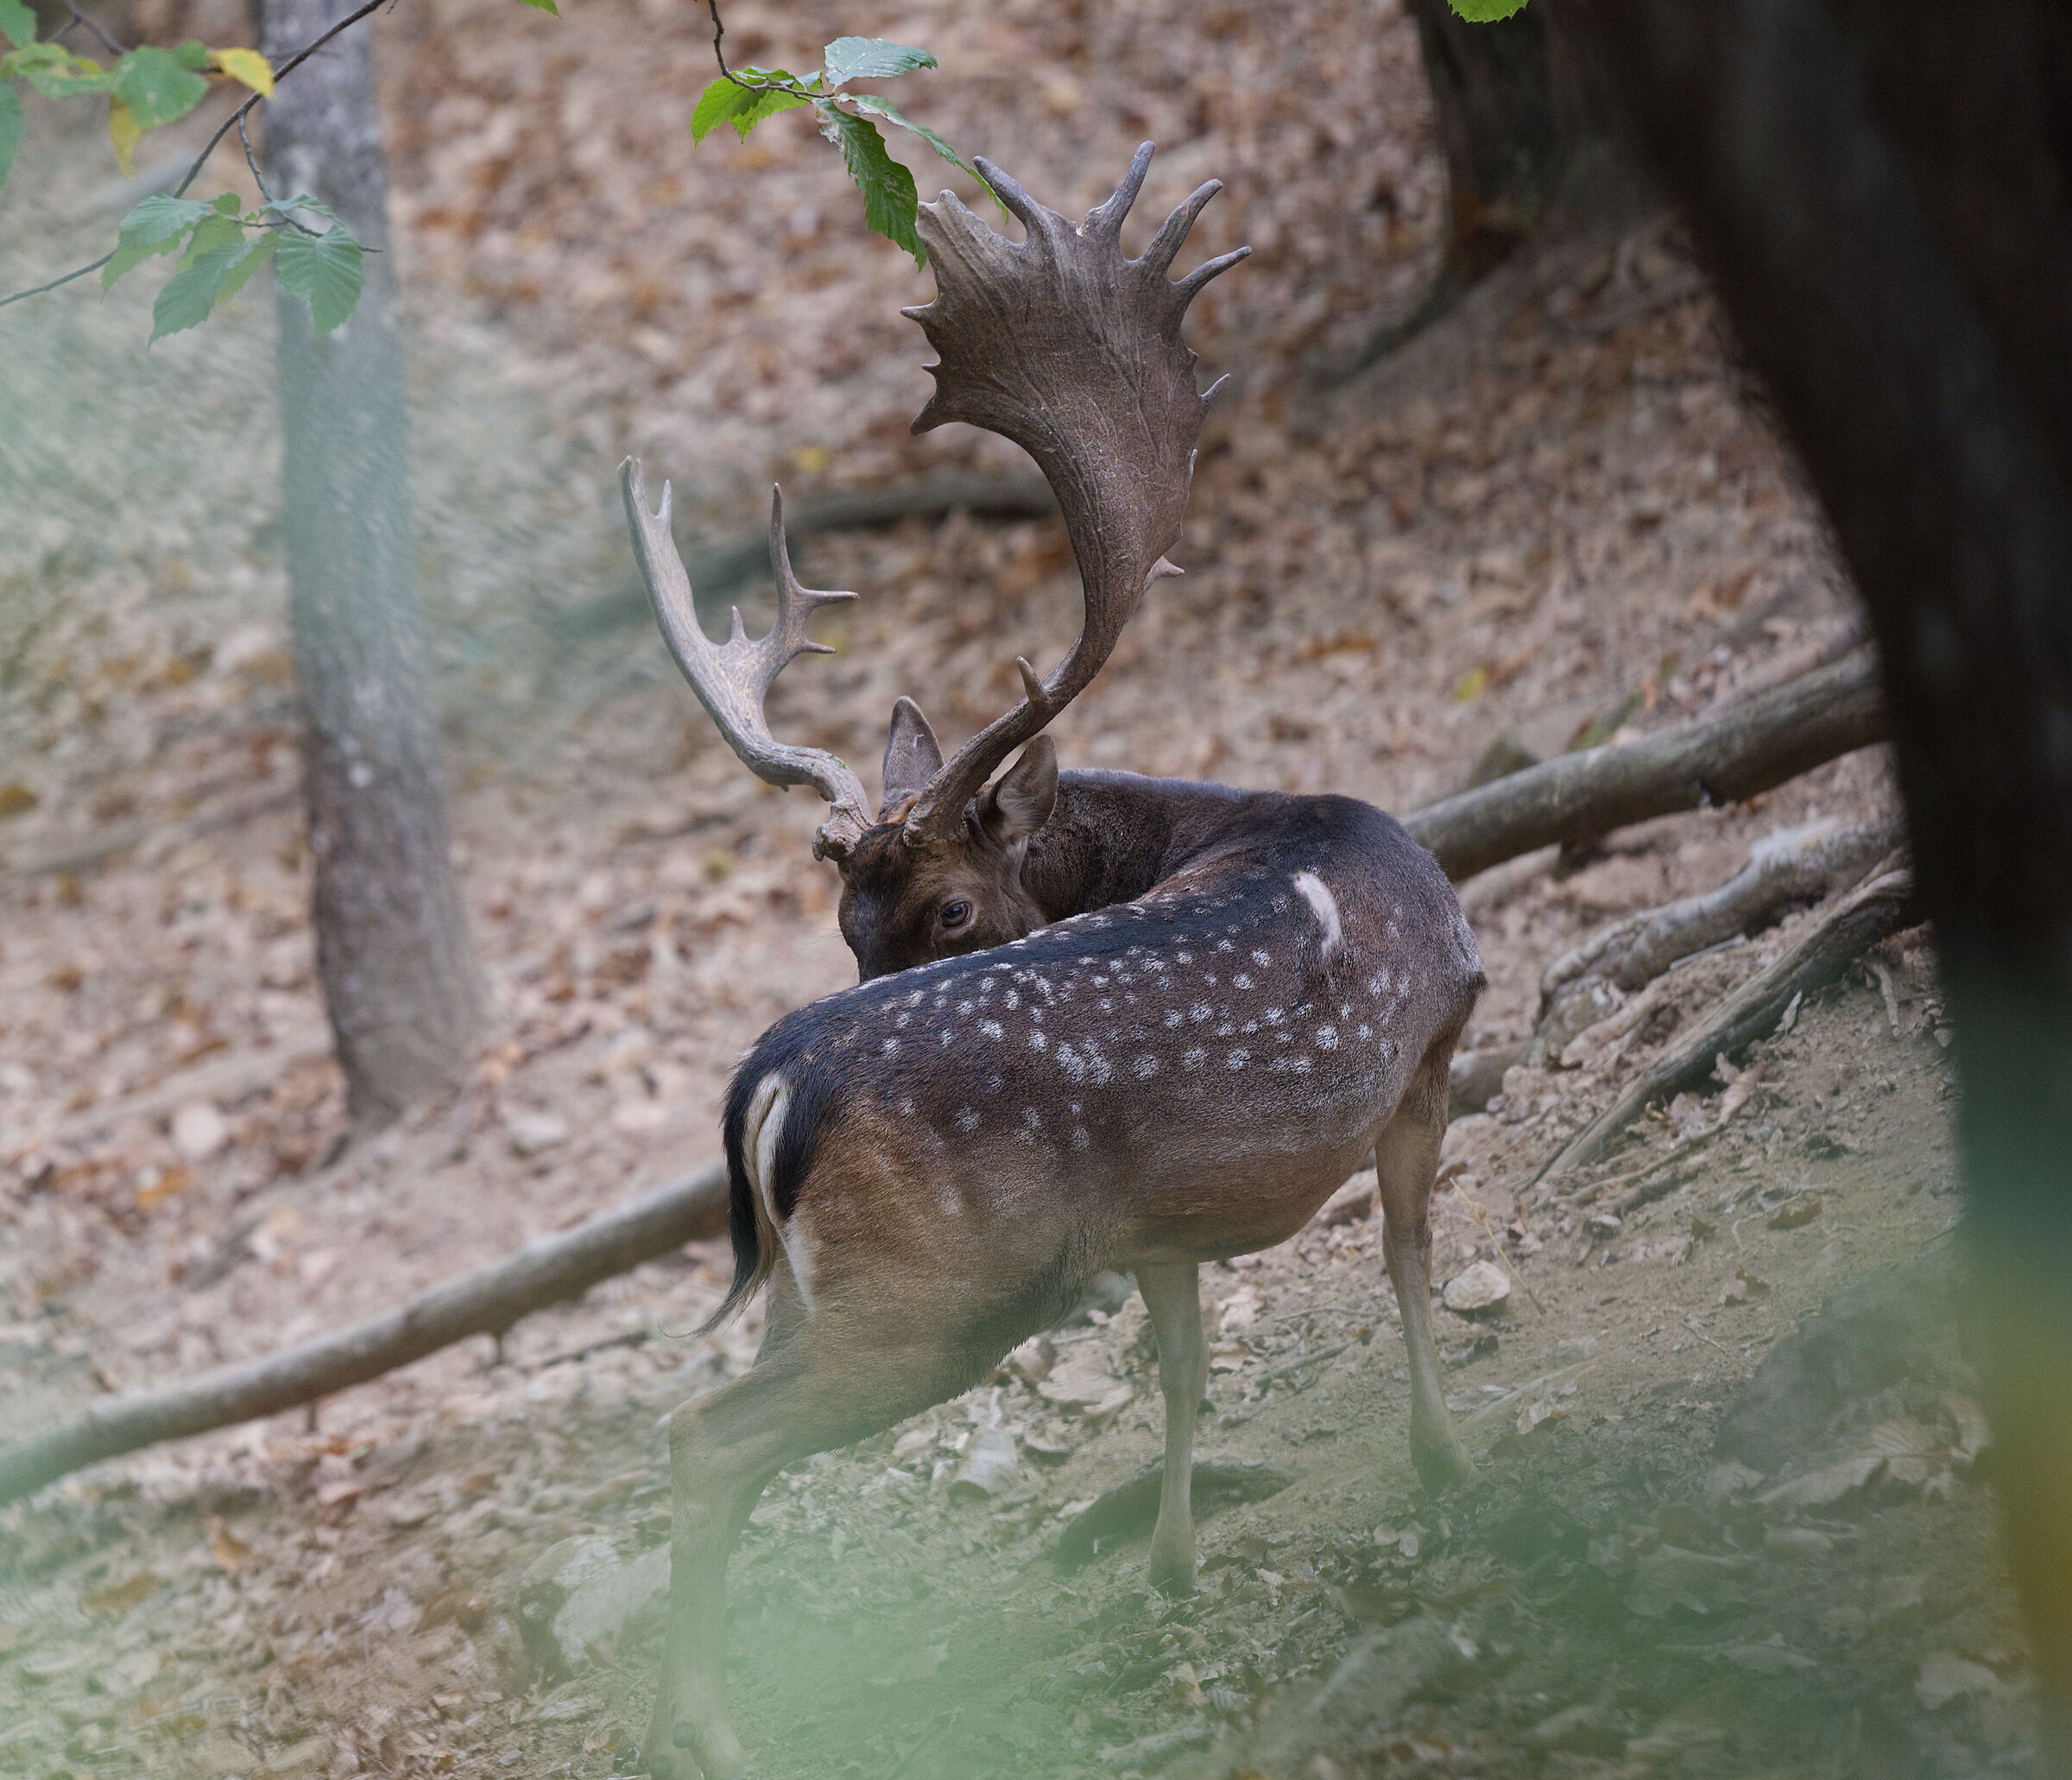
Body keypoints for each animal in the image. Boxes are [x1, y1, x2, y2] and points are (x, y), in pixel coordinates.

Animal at [620, 145, 1484, 1780]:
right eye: (851, 920)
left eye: (938, 915)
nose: (855, 969)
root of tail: (771, 1080)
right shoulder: (1432, 1047)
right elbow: (1407, 1259)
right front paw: (1446, 1454)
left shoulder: (1157, 1225)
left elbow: (1188, 1364)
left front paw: (1173, 1563)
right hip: (937, 1294)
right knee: (702, 1440)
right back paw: (711, 1721)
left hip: (817, 1293)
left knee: (718, 1433)